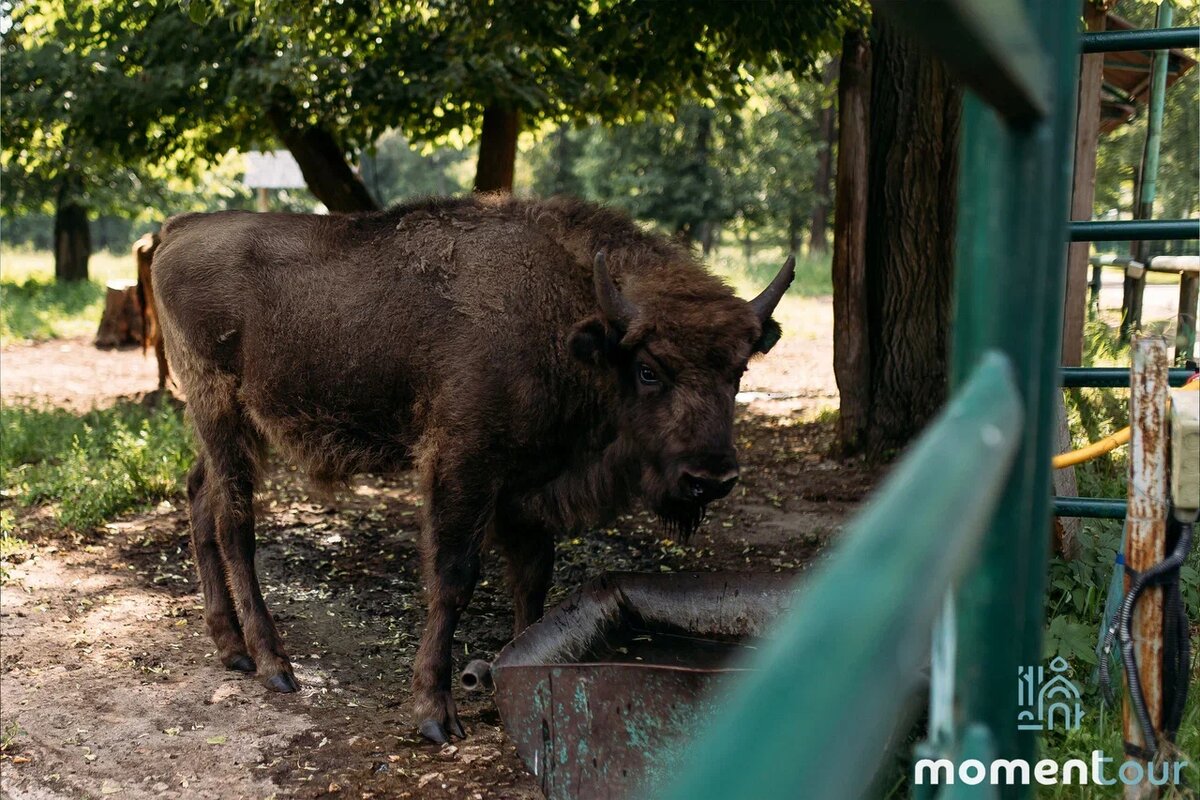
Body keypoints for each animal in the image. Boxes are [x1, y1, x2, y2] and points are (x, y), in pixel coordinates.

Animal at [154, 195, 796, 743]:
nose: (710, 480)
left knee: (199, 497)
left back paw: (232, 649)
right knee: (235, 526)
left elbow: (533, 575)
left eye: (739, 370)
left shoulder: (526, 485)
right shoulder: (464, 468)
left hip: (224, 432)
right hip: (224, 414)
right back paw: (275, 666)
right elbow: (454, 579)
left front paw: (512, 668)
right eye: (647, 370)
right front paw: (435, 715)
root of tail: (179, 227)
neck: (563, 313)